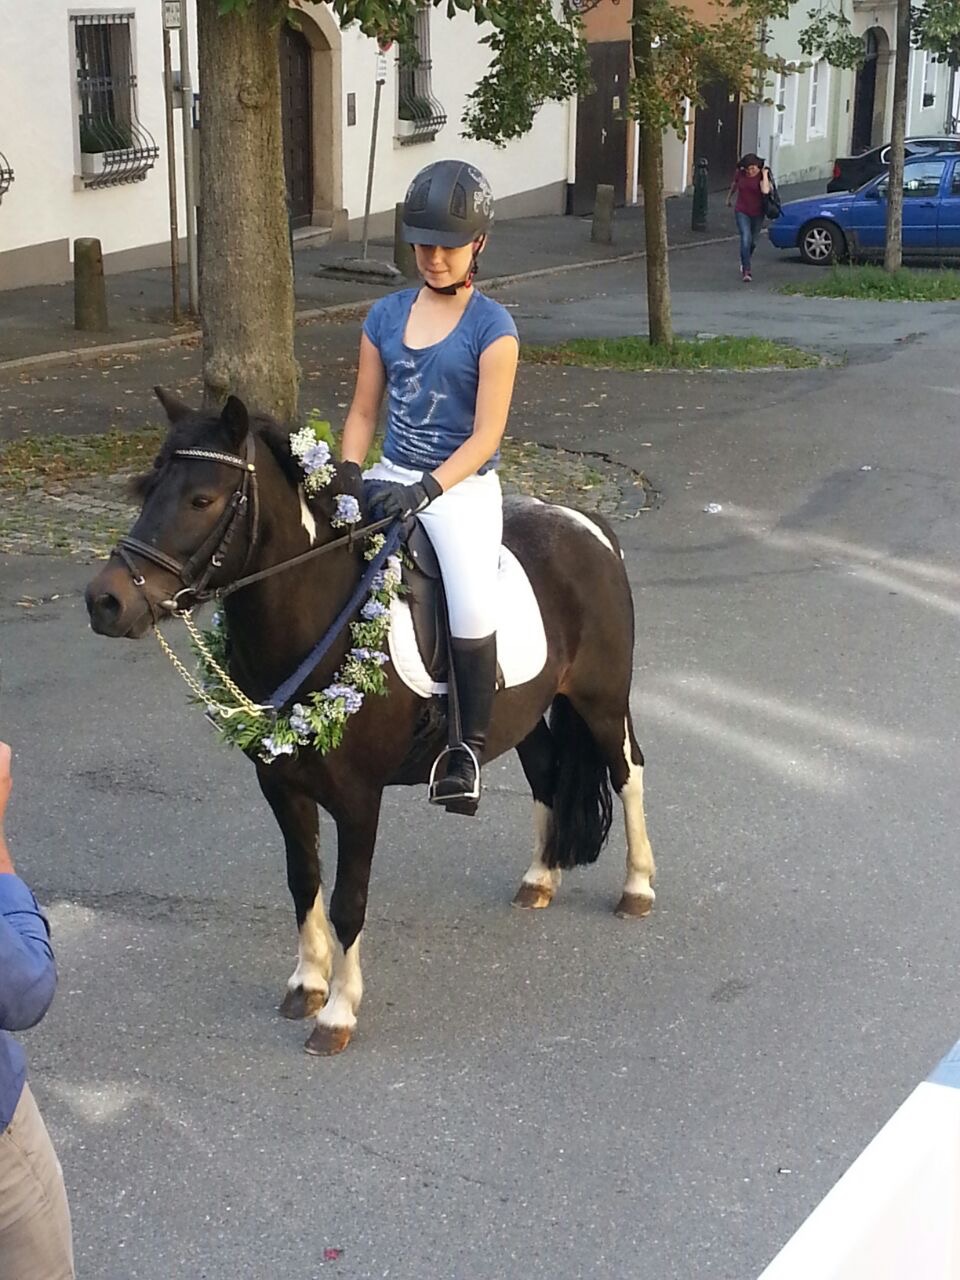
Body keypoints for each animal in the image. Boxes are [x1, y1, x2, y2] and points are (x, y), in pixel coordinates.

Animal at [86, 394, 660, 1054]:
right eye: (146, 488)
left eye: (202, 499)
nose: (104, 602)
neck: (324, 617)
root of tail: (587, 523)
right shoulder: (281, 785)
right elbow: (303, 880)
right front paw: (307, 984)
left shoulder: (360, 800)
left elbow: (348, 901)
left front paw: (338, 1013)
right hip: (523, 713)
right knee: (545, 774)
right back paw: (540, 879)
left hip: (601, 699)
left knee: (628, 772)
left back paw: (638, 888)